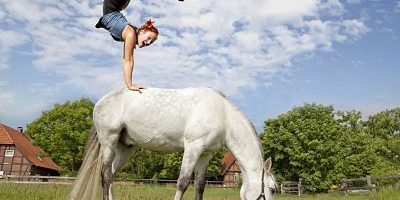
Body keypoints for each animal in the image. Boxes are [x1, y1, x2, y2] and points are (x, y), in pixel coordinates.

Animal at [69, 87, 276, 200]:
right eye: (273, 189)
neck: (222, 114)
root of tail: (100, 102)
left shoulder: (205, 154)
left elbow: (200, 186)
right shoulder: (192, 147)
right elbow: (182, 183)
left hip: (126, 147)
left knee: (111, 175)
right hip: (108, 143)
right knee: (105, 176)